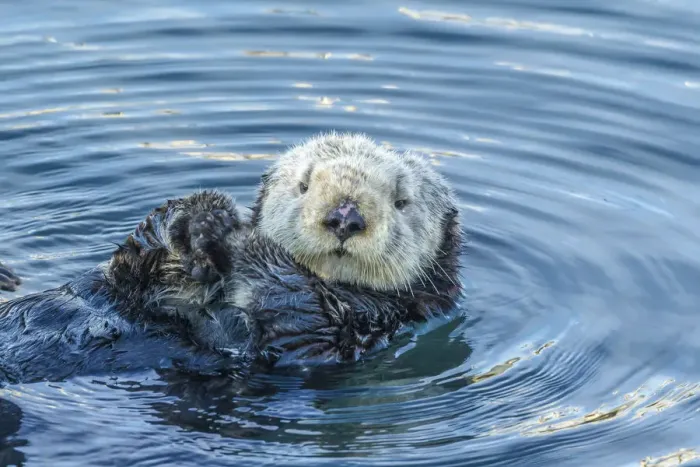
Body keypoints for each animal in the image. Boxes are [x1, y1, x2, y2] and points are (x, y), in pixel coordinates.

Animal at [0, 133, 462, 383]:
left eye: (401, 201)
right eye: (304, 185)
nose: (345, 216)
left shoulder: (341, 335)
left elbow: (294, 311)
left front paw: (236, 236)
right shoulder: (125, 284)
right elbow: (132, 261)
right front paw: (200, 217)